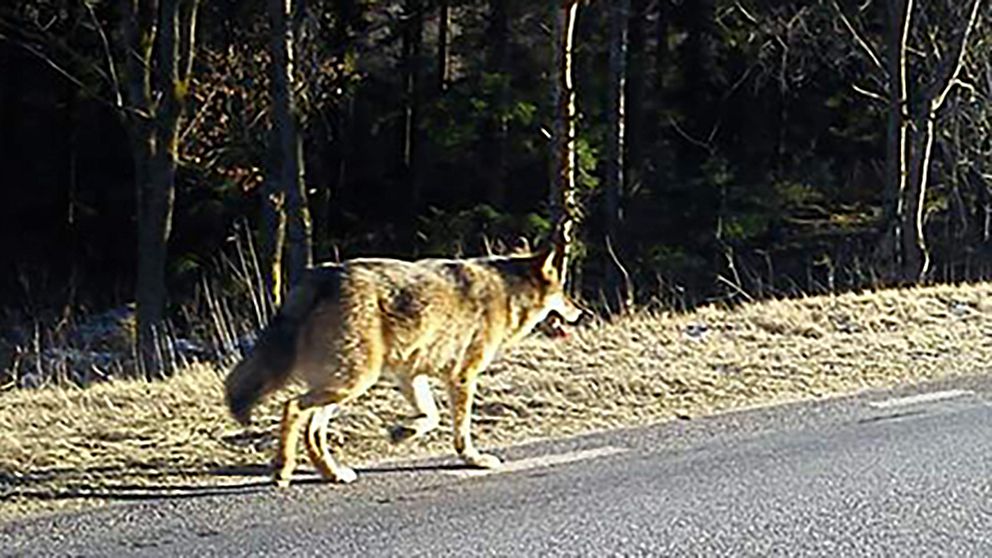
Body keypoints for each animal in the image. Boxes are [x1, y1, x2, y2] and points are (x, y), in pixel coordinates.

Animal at [224, 232, 580, 486]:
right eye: (564, 293)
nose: (580, 312)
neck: (507, 293)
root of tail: (320, 276)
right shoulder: (463, 375)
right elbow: (461, 428)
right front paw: (474, 459)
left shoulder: (411, 374)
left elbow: (431, 416)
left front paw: (401, 432)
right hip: (352, 382)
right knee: (293, 408)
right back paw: (283, 470)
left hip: (342, 385)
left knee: (313, 428)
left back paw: (333, 474)